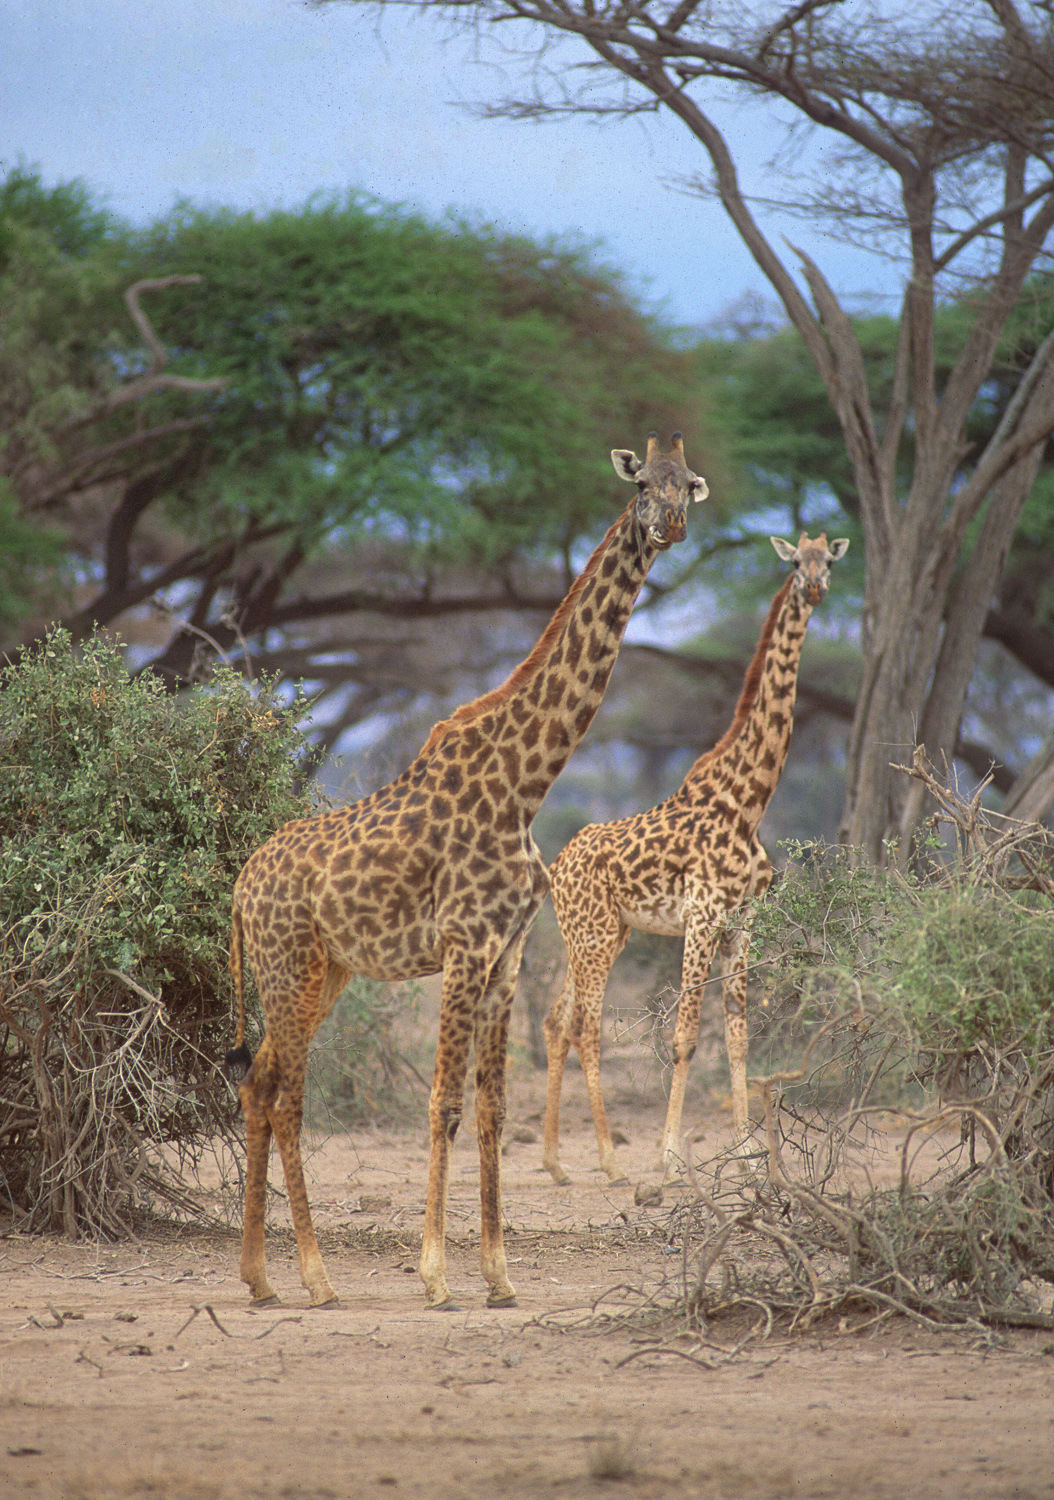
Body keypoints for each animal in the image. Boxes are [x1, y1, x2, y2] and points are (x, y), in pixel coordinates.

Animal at [225, 433, 708, 1309]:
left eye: (688, 484)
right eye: (641, 486)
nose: (673, 526)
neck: (526, 784)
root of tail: (241, 888)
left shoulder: (507, 955)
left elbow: (490, 1109)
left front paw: (499, 1275)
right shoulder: (463, 946)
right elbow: (444, 1101)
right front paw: (435, 1273)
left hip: (323, 972)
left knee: (259, 1082)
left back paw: (260, 1278)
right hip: (288, 968)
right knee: (285, 1093)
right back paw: (314, 1276)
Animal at [541, 531, 848, 1186]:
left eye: (828, 560)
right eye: (794, 561)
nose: (814, 588)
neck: (749, 801)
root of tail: (556, 866)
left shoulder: (741, 923)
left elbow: (738, 1038)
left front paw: (751, 1157)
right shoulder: (702, 917)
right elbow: (684, 1038)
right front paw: (671, 1159)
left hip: (597, 934)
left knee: (556, 1022)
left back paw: (555, 1162)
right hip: (596, 937)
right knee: (585, 1028)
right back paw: (611, 1162)